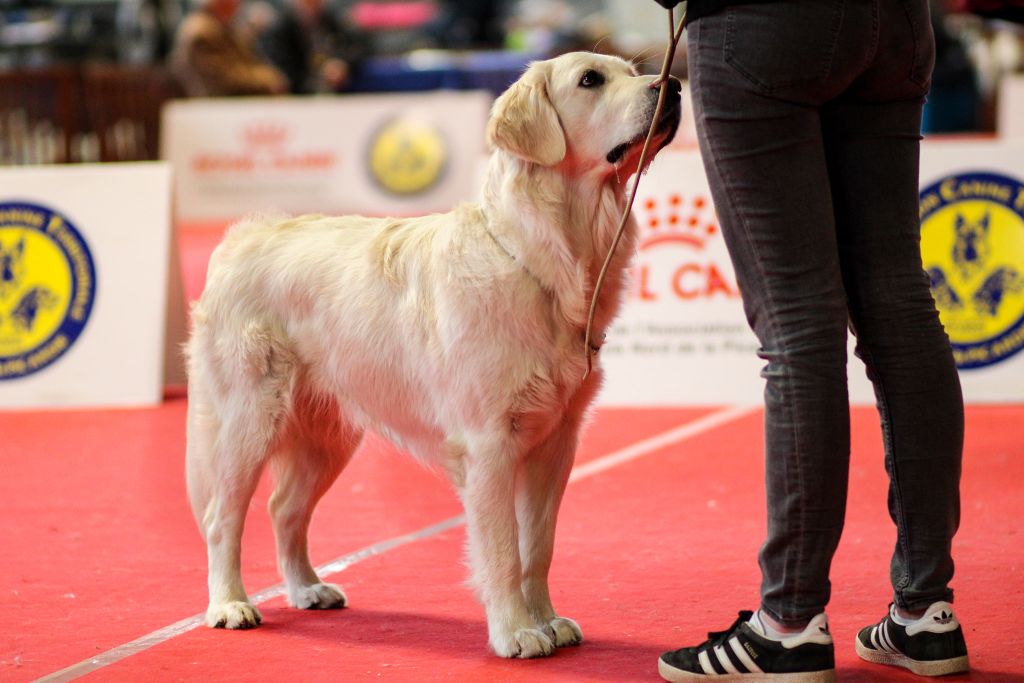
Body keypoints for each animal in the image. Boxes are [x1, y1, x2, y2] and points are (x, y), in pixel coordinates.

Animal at [186, 50, 679, 659]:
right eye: (591, 80)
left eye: (631, 71)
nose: (674, 87)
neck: (540, 254)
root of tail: (239, 239)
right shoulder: (490, 443)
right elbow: (503, 549)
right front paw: (516, 632)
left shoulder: (556, 442)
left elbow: (538, 546)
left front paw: (547, 621)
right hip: (249, 418)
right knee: (221, 517)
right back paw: (229, 604)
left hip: (328, 434)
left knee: (285, 509)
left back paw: (306, 588)